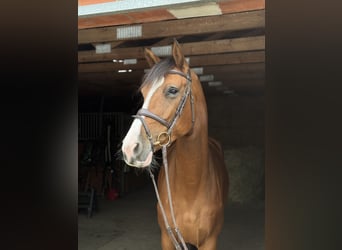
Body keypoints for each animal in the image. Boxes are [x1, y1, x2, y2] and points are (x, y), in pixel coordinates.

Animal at [121, 40, 228, 249]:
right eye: (143, 93)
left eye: (172, 90)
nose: (129, 148)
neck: (191, 187)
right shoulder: (167, 238)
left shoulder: (210, 241)